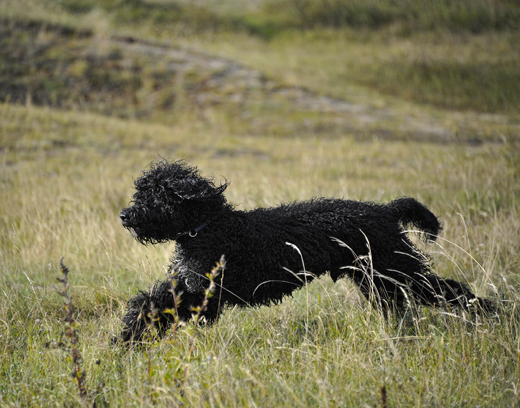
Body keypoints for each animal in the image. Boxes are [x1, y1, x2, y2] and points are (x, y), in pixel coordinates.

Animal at [119, 159, 492, 342]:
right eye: (141, 191)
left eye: (155, 194)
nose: (124, 215)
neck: (208, 226)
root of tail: (385, 211)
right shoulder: (190, 288)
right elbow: (150, 302)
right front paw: (129, 337)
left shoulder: (203, 295)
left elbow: (152, 304)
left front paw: (127, 339)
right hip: (379, 280)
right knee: (404, 305)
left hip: (400, 270)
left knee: (453, 292)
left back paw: (491, 316)